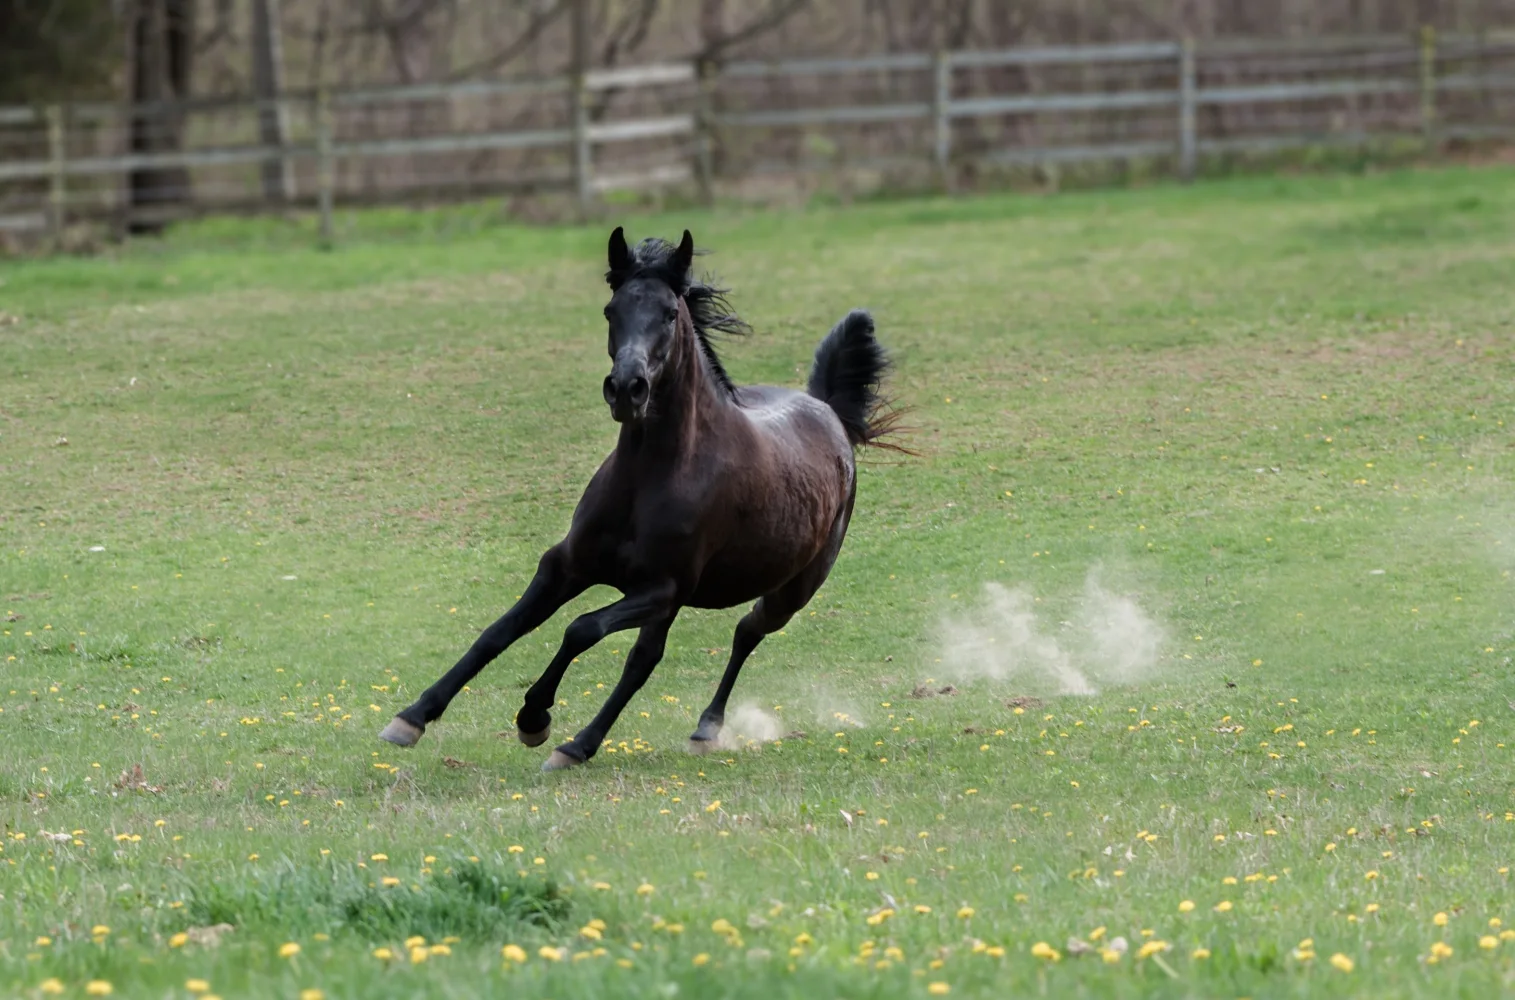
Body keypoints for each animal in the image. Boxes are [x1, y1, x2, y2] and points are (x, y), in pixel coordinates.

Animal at [379, 227, 898, 770]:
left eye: (669, 313)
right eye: (612, 310)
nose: (627, 389)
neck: (649, 479)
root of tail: (828, 410)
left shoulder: (661, 589)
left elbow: (582, 630)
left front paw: (535, 717)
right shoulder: (565, 566)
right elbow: (500, 631)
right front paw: (413, 716)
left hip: (787, 592)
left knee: (736, 635)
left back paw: (625, 738)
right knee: (669, 652)